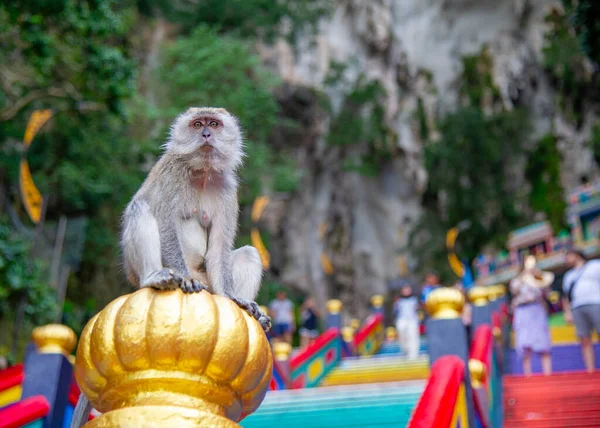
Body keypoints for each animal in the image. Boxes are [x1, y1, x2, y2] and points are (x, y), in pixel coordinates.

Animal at [69, 108, 270, 428]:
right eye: (198, 124)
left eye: (214, 124)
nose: (206, 134)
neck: (202, 174)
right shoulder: (173, 175)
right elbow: (165, 221)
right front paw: (184, 279)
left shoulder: (227, 188)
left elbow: (220, 248)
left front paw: (235, 298)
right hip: (138, 270)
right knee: (142, 209)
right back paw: (158, 277)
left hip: (208, 281)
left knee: (249, 254)